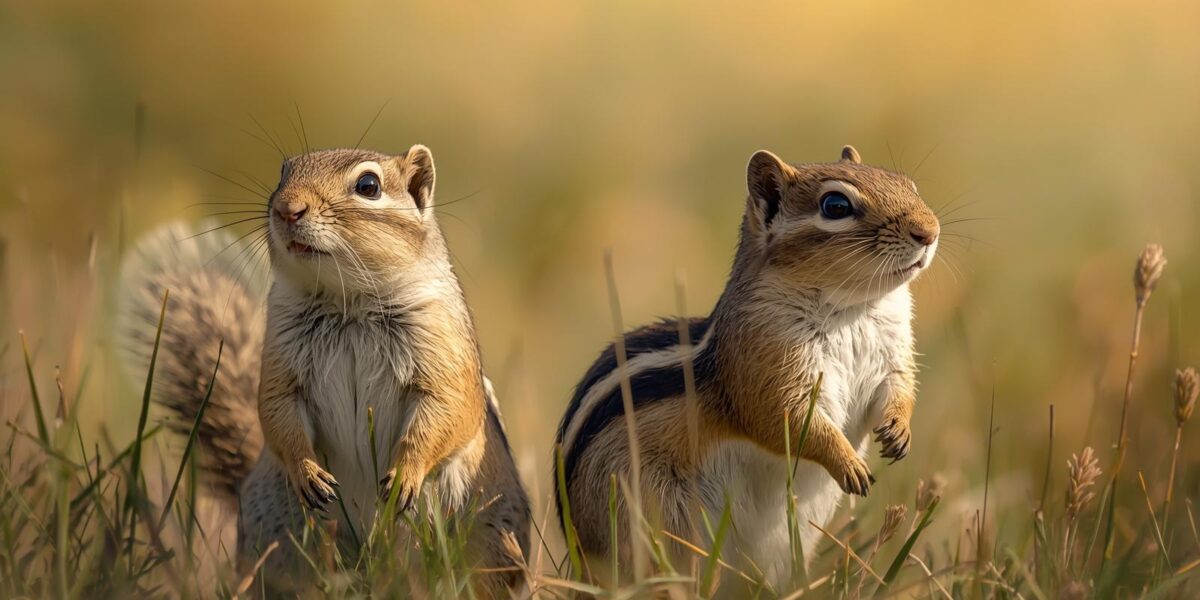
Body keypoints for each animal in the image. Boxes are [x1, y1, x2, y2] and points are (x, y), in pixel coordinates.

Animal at [119, 145, 530, 597]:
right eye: (283, 172)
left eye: (368, 185)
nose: (287, 209)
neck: (347, 302)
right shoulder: (280, 363)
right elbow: (277, 415)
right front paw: (307, 471)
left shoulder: (443, 355)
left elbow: (446, 412)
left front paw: (406, 474)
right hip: (279, 540)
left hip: (488, 538)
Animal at [553, 145, 938, 589]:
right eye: (836, 206)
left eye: (909, 184)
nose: (929, 232)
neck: (852, 308)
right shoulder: (766, 367)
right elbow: (787, 421)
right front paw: (848, 464)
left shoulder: (892, 356)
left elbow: (898, 389)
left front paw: (898, 431)